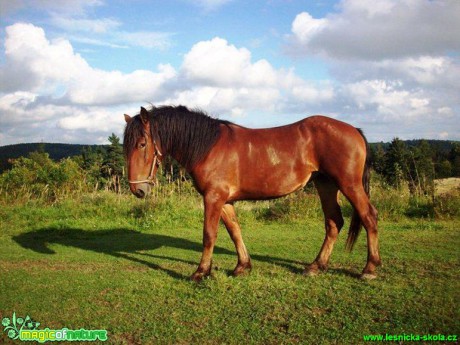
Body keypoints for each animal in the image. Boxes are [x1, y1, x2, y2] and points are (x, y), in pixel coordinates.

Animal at [122, 106, 380, 280]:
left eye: (142, 144)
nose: (138, 189)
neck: (208, 146)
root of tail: (354, 130)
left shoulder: (213, 197)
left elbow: (209, 235)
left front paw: (201, 272)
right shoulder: (225, 201)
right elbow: (235, 231)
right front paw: (242, 266)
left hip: (349, 184)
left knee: (369, 217)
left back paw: (369, 268)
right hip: (326, 184)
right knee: (334, 222)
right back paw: (316, 266)